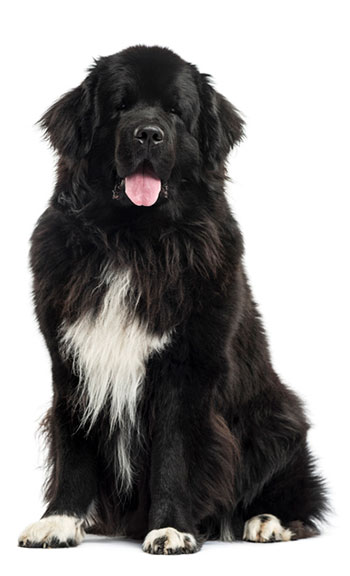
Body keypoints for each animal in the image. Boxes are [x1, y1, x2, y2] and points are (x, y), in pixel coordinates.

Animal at [18, 46, 326, 552]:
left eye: (176, 111)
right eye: (120, 106)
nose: (148, 133)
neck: (133, 241)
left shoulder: (187, 368)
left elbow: (174, 453)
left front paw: (171, 529)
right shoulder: (70, 358)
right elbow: (73, 443)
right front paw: (59, 520)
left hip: (278, 419)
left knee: (299, 497)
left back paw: (266, 522)